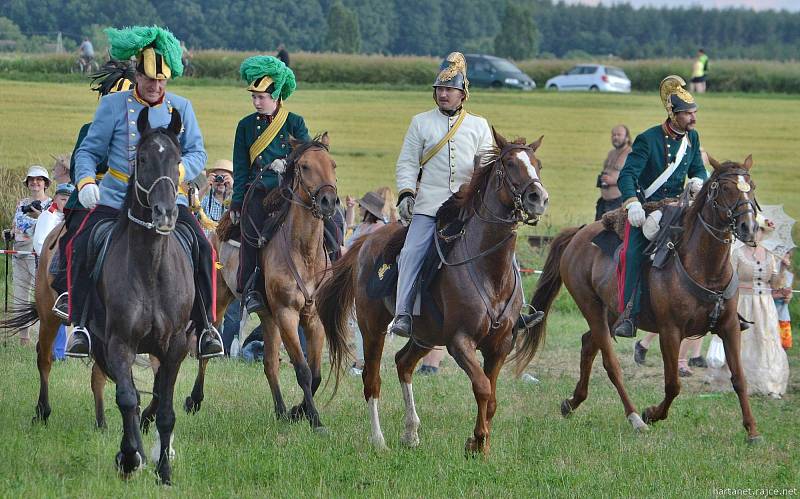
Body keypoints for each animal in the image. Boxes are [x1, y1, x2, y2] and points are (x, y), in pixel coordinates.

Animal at [318, 130, 552, 458]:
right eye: (509, 164)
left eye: (537, 164)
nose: (538, 198)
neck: (489, 269)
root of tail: (366, 242)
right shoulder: (459, 342)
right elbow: (482, 387)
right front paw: (476, 441)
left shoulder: (500, 346)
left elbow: (491, 398)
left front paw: (482, 447)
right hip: (373, 328)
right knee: (372, 380)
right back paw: (379, 441)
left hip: (425, 335)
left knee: (403, 363)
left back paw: (410, 432)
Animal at [512, 158, 764, 444]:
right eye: (725, 189)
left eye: (752, 186)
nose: (748, 228)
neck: (704, 266)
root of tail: (578, 234)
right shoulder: (670, 332)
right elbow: (673, 384)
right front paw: (652, 414)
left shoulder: (729, 327)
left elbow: (739, 379)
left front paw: (752, 430)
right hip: (592, 308)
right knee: (610, 363)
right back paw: (634, 417)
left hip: (612, 313)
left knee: (588, 345)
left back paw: (572, 402)